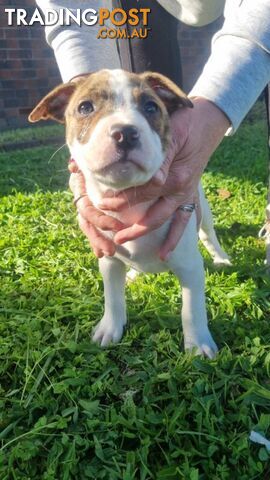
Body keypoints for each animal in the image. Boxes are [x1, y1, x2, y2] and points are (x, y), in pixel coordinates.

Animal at [30, 69, 232, 358]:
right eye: (85, 107)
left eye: (150, 107)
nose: (124, 132)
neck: (130, 201)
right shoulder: (109, 259)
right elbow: (113, 297)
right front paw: (110, 328)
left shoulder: (190, 266)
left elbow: (191, 310)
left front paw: (198, 346)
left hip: (202, 208)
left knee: (209, 235)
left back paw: (221, 258)